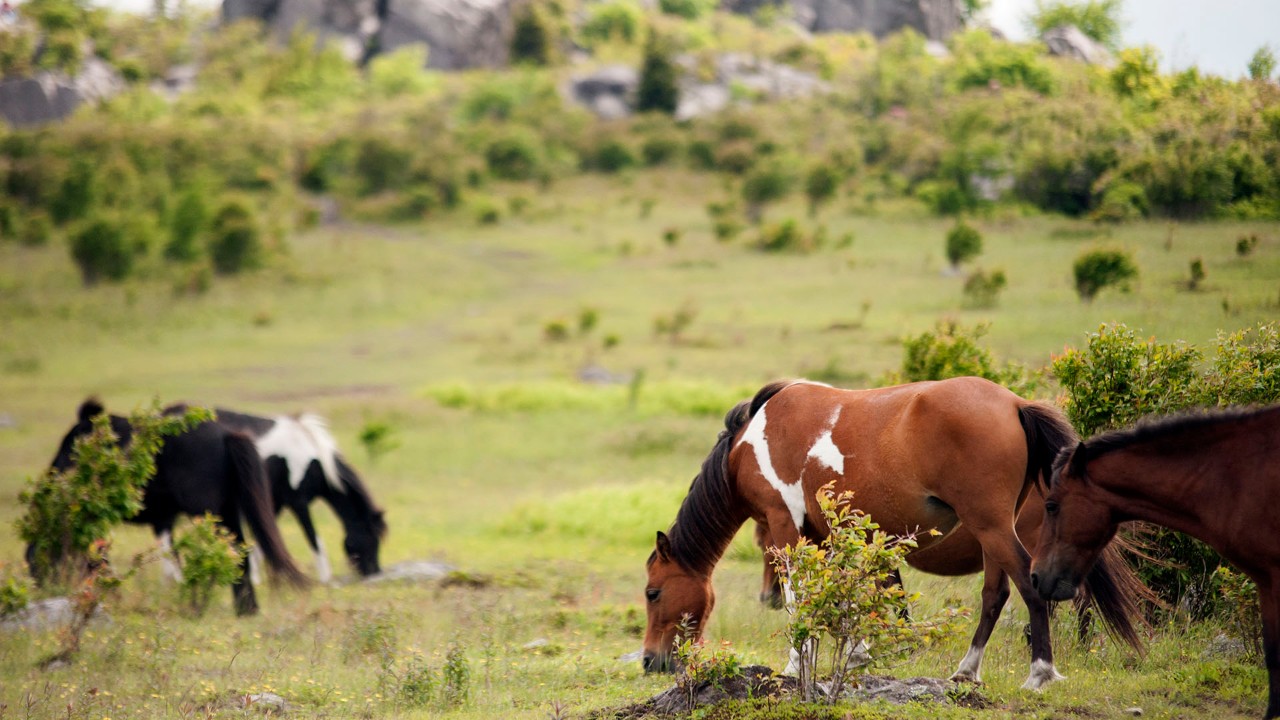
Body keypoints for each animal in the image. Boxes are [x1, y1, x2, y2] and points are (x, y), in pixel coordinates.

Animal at [45, 399, 310, 615]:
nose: (55, 475)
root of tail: (226, 434)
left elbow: (98, 557)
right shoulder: (161, 518)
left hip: (209, 510)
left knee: (231, 551)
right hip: (226, 508)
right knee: (239, 551)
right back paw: (247, 609)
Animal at [214, 409, 386, 581]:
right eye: (371, 538)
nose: (374, 572)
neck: (313, 460)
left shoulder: (277, 502)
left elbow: (264, 536)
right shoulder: (298, 503)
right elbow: (314, 541)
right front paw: (325, 580)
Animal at [643, 377, 1146, 690]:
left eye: (653, 593)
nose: (650, 660)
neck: (749, 444)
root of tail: (1016, 405)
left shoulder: (784, 524)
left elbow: (798, 598)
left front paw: (793, 664)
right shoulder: (824, 535)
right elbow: (843, 597)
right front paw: (857, 654)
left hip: (992, 527)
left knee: (1028, 585)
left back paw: (1040, 673)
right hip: (992, 533)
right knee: (995, 594)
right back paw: (967, 671)